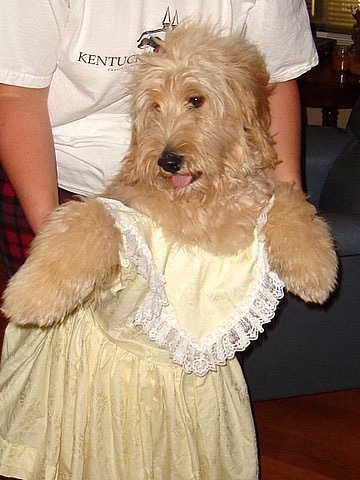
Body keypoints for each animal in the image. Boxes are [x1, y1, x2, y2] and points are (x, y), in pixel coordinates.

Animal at [1, 22, 338, 330]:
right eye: (155, 106)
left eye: (196, 100)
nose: (168, 161)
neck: (200, 203)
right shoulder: (123, 212)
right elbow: (89, 219)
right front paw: (31, 294)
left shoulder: (261, 197)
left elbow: (289, 202)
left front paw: (314, 269)